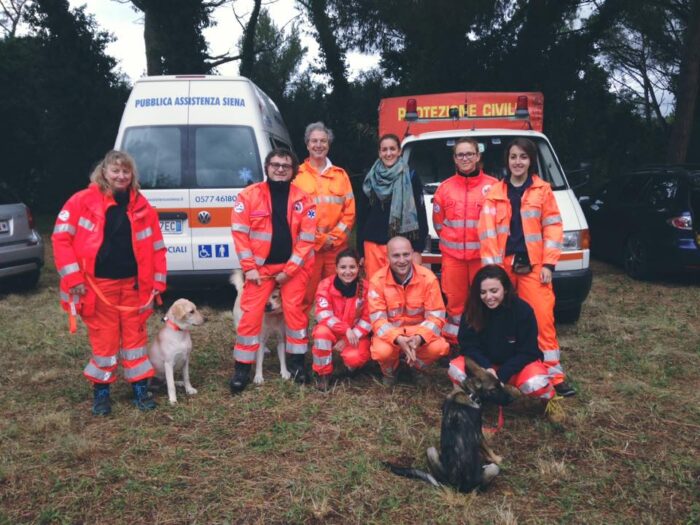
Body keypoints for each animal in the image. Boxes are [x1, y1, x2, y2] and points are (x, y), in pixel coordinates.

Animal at [382, 356, 520, 492]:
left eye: (500, 385)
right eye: (494, 389)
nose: (512, 399)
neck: (468, 393)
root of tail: (456, 485)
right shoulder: (479, 433)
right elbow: (488, 448)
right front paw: (497, 458)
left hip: (431, 451)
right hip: (493, 469)